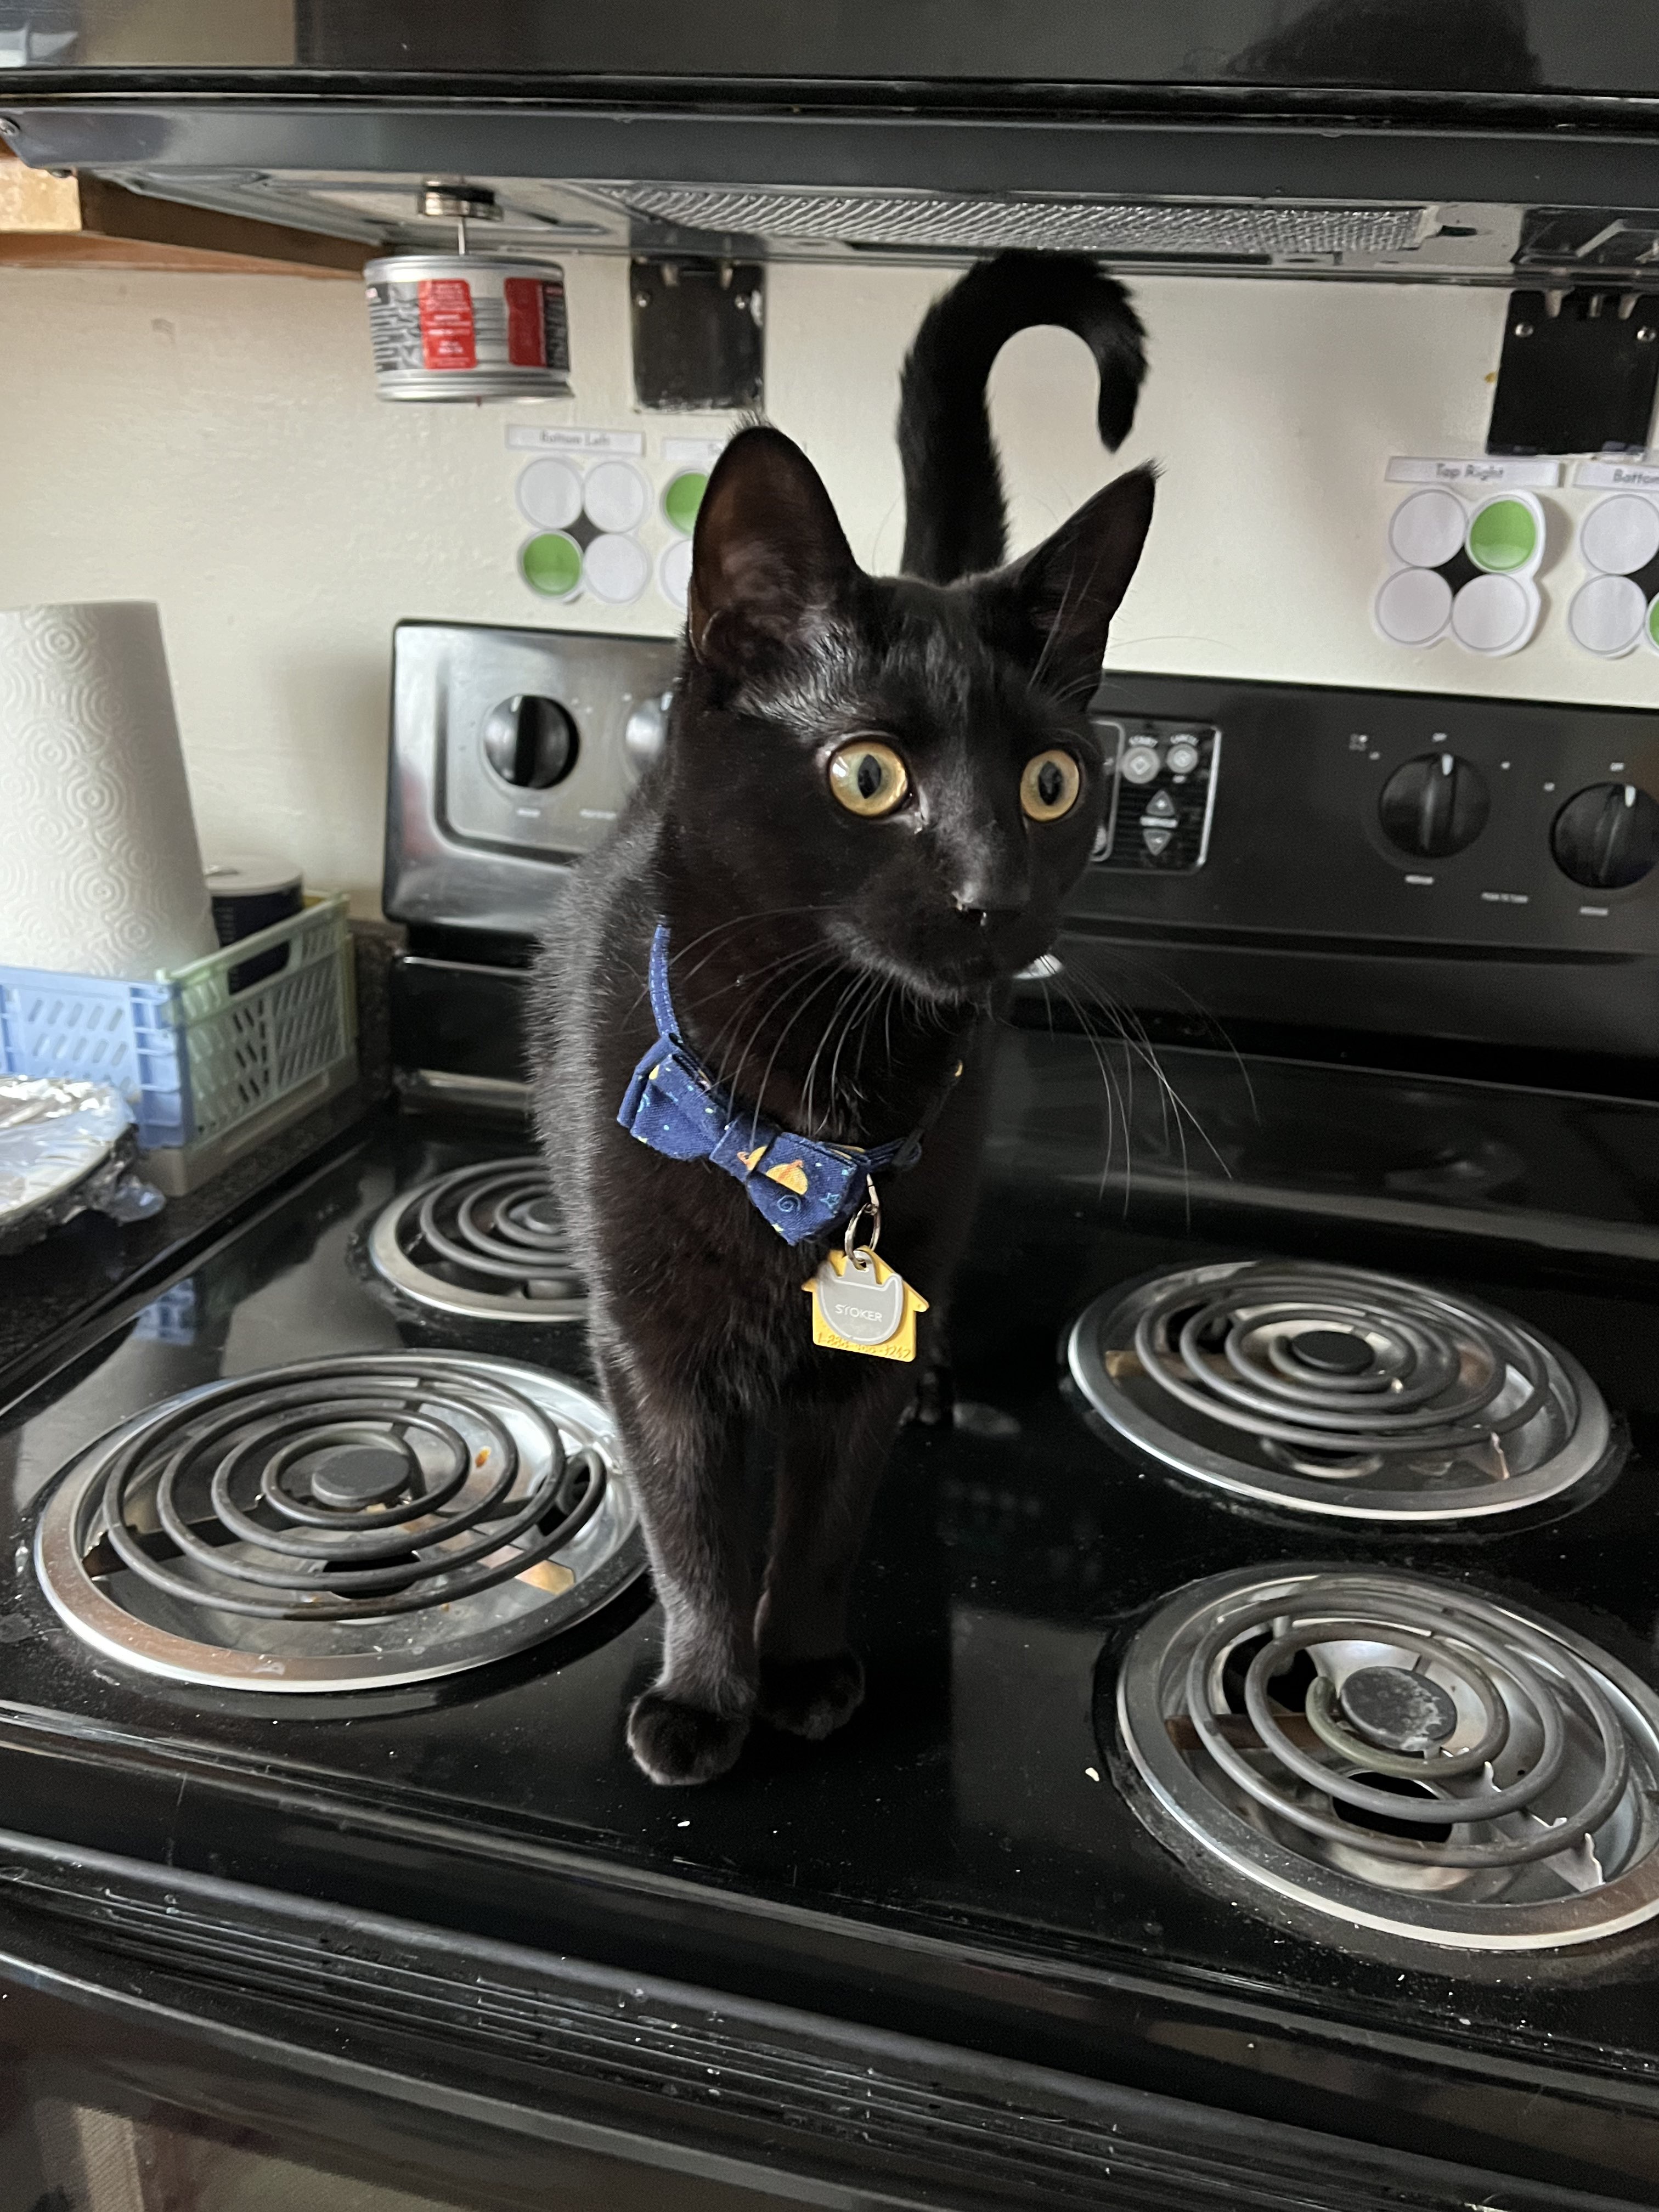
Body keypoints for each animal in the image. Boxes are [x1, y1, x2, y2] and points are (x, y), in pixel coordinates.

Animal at [533, 254, 1159, 1778]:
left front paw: (804, 1673)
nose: (997, 893)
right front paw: (705, 1698)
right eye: (868, 775)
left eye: (1054, 784)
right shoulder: (654, 1347)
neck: (818, 1098)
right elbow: (692, 1535)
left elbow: (821, 1526)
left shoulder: (854, 1355)